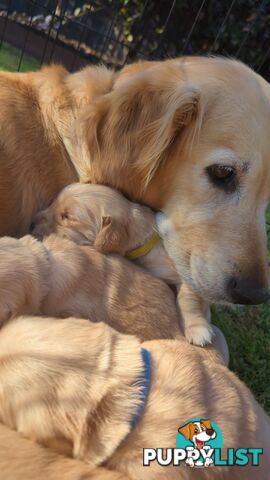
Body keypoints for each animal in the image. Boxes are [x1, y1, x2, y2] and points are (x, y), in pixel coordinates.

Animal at [32, 183, 214, 344]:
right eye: (53, 203)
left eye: (67, 216)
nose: (31, 223)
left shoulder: (183, 272)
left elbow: (187, 299)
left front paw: (197, 330)